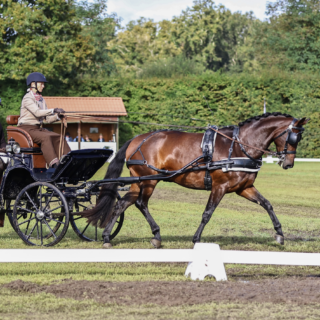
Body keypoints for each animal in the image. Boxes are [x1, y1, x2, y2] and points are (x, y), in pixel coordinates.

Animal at [82, 111, 308, 249]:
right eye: (293, 137)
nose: (288, 163)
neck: (238, 146)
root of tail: (137, 139)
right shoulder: (219, 186)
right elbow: (207, 213)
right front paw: (196, 239)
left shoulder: (244, 187)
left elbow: (267, 204)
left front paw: (279, 233)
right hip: (149, 181)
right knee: (140, 203)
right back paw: (156, 235)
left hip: (139, 181)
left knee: (122, 203)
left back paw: (107, 237)